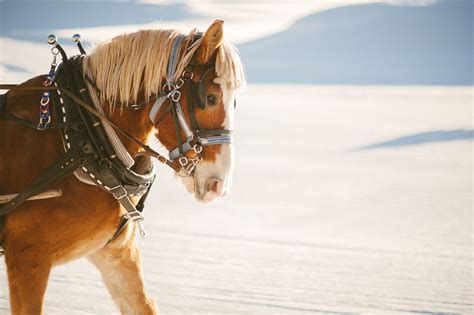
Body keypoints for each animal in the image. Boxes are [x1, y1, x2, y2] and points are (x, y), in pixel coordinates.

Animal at [0, 19, 244, 314]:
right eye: (210, 98)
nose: (219, 184)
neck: (86, 134)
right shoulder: (27, 259)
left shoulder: (116, 253)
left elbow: (143, 305)